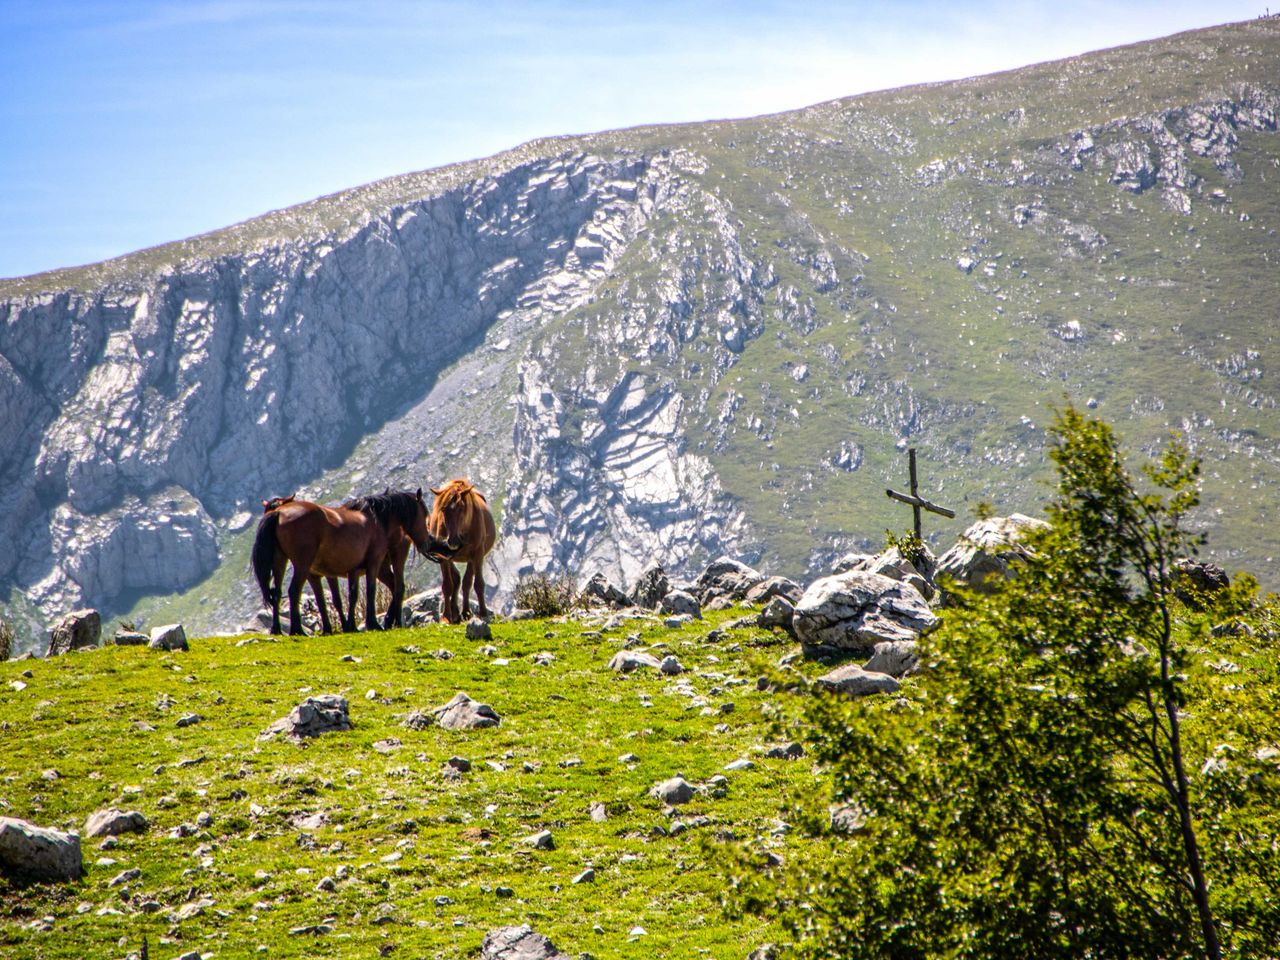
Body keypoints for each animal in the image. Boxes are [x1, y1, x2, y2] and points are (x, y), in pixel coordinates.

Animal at [252, 489, 444, 635]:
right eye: (425, 514)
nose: (428, 542)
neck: (377, 520)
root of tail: (279, 513)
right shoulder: (372, 563)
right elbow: (368, 591)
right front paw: (371, 623)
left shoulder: (350, 570)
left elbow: (348, 596)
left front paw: (348, 626)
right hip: (302, 565)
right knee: (293, 591)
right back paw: (297, 630)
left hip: (281, 561)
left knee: (277, 593)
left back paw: (277, 629)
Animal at [427, 479, 496, 623]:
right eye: (443, 509)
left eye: (461, 508)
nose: (453, 541)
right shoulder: (443, 556)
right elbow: (447, 585)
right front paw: (446, 617)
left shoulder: (477, 554)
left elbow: (478, 584)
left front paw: (483, 613)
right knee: (457, 580)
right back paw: (456, 613)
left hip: (471, 559)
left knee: (466, 583)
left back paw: (465, 612)